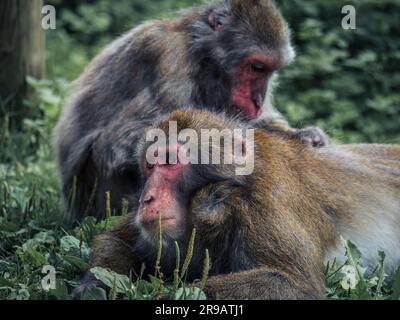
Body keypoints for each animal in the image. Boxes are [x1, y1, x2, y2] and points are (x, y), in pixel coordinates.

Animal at [52, 0, 332, 220]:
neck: (202, 59)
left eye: (271, 71)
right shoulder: (167, 58)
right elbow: (120, 143)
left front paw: (306, 135)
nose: (258, 100)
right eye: (257, 68)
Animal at [73, 109, 400, 300]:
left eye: (169, 161)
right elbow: (115, 239)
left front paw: (169, 295)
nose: (146, 198)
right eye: (149, 166)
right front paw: (91, 287)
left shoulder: (267, 201)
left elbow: (294, 285)